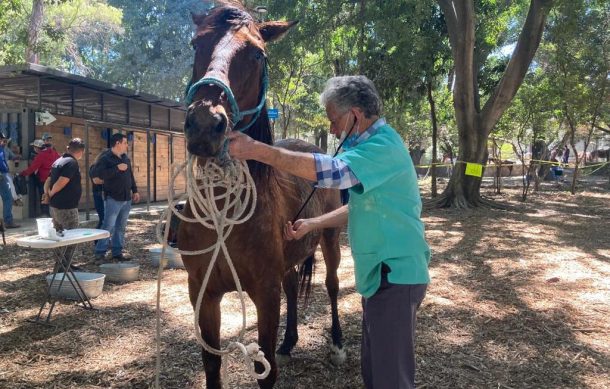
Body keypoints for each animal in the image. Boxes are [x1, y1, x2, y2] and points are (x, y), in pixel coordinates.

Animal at [178, 1, 344, 386]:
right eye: (195, 44)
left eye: (257, 54)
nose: (205, 125)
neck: (222, 217)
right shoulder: (203, 293)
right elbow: (211, 364)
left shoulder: (265, 295)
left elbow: (265, 369)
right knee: (293, 285)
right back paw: (290, 340)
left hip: (330, 239)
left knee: (331, 285)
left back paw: (337, 342)